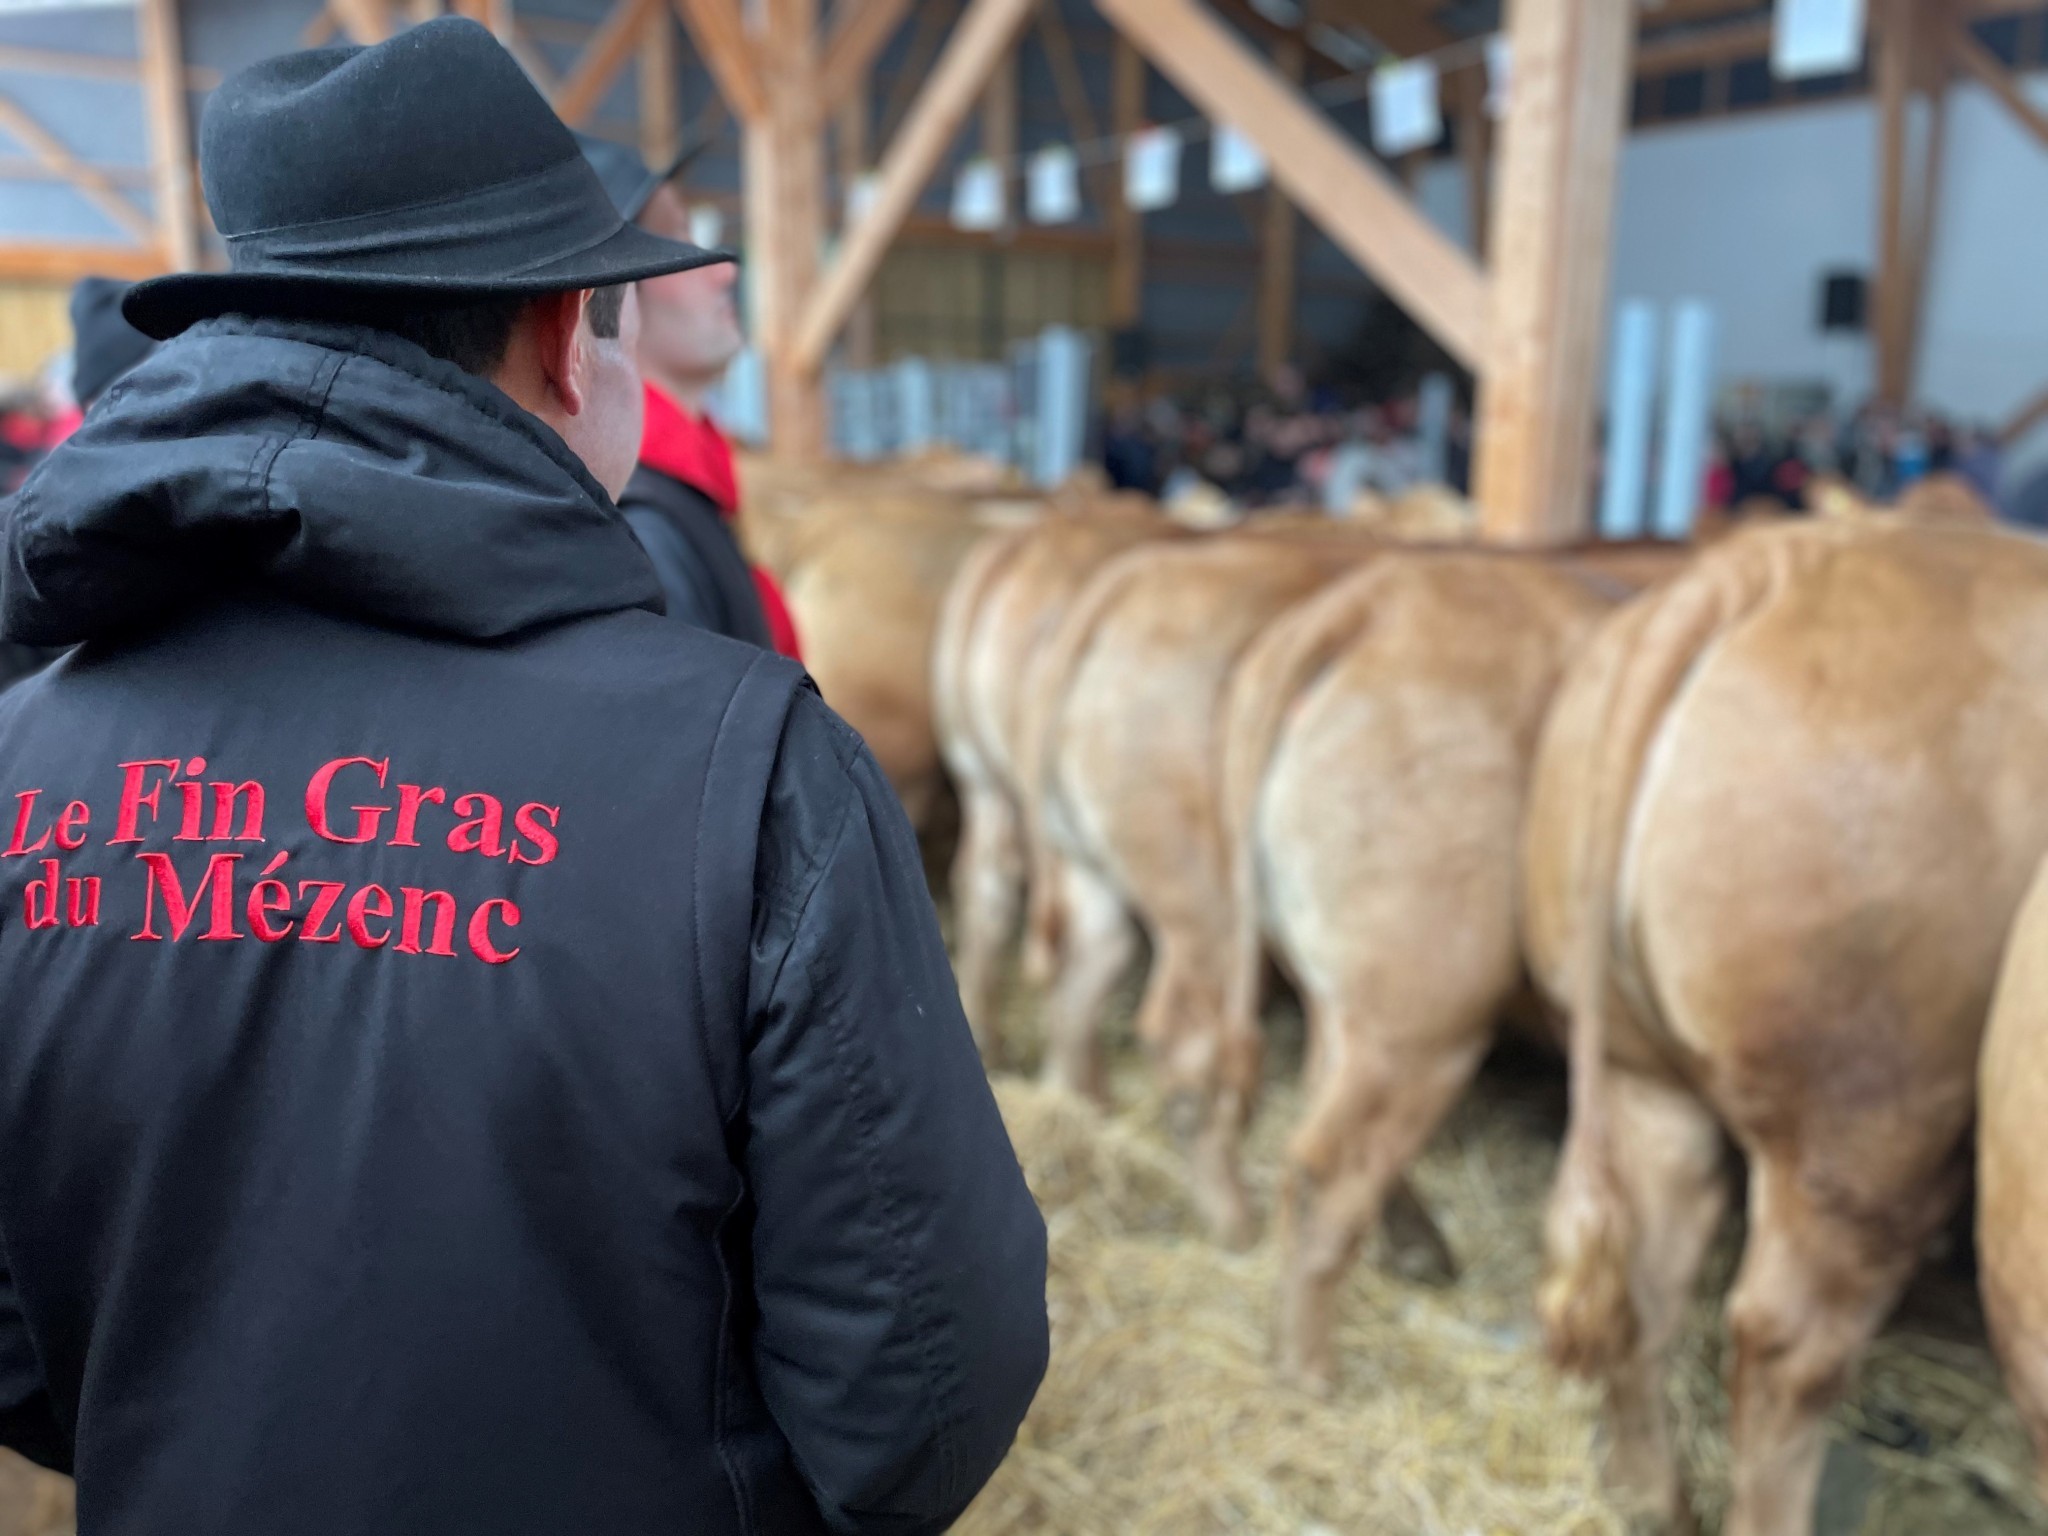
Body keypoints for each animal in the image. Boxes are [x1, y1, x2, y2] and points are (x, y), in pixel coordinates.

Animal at [1531, 520, 2048, 1536]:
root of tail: (1769, 563)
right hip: (1865, 1132)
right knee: (1786, 1348)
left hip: (1640, 1077)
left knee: (1646, 1276)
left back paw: (1655, 1499)